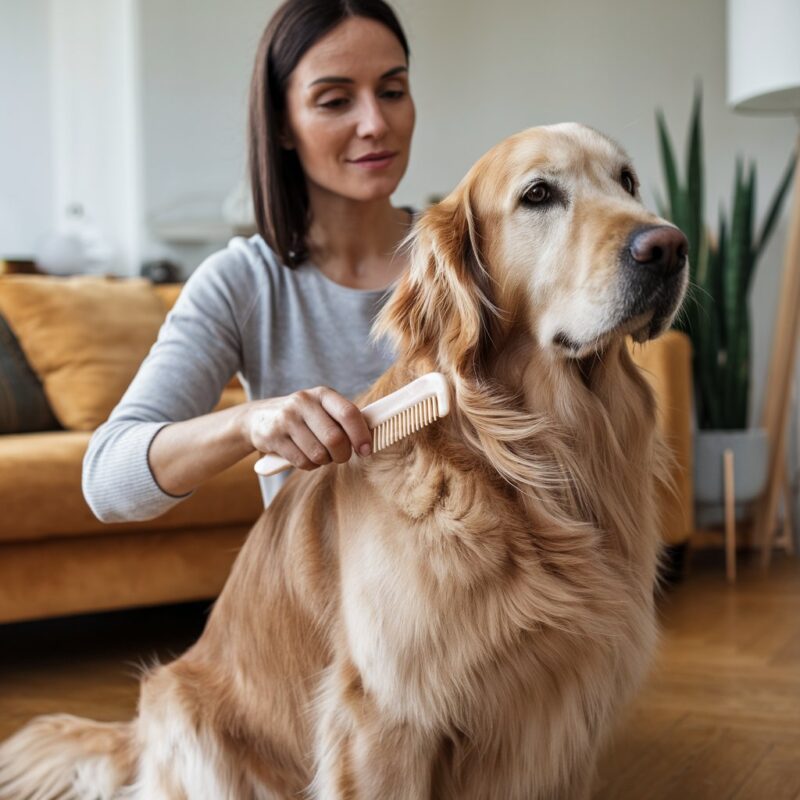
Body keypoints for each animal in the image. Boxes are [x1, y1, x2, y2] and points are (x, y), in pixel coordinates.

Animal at [0, 122, 688, 796]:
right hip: (189, 720)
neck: (530, 459)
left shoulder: (566, 718)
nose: (671, 246)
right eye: (539, 194)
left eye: (627, 181)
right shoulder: (385, 714)